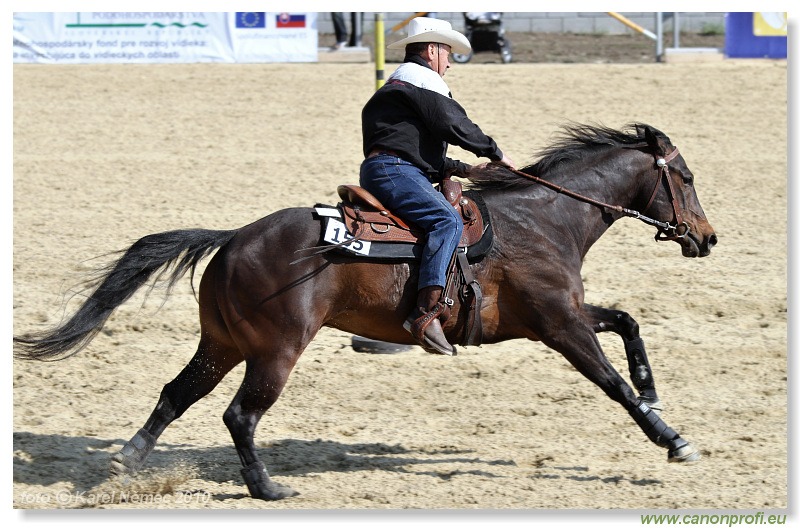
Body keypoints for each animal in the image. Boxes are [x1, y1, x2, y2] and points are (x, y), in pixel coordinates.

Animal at [15, 124, 720, 502]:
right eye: (684, 176)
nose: (707, 238)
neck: (545, 219)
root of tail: (234, 237)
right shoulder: (559, 324)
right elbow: (612, 383)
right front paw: (672, 438)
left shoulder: (559, 316)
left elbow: (627, 322)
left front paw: (655, 394)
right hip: (275, 351)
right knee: (239, 415)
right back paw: (266, 487)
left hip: (221, 344)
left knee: (176, 393)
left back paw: (128, 458)